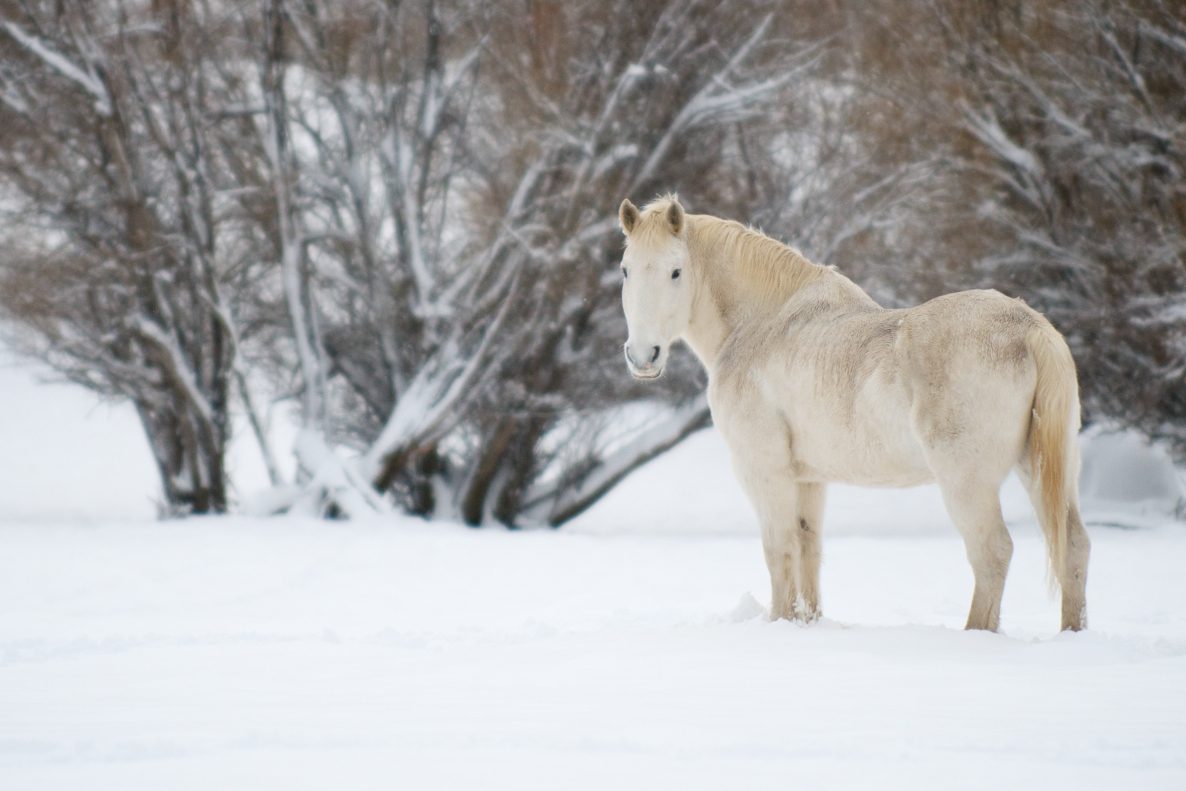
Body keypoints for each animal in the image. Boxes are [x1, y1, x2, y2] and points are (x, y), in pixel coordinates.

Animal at [616, 194, 1090, 632]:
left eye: (676, 271)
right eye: (625, 269)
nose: (643, 357)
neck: (761, 326)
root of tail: (1029, 328)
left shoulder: (763, 470)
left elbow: (779, 548)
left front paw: (778, 622)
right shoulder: (808, 478)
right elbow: (808, 547)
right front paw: (806, 622)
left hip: (967, 482)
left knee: (991, 552)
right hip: (1042, 467)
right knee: (1074, 546)